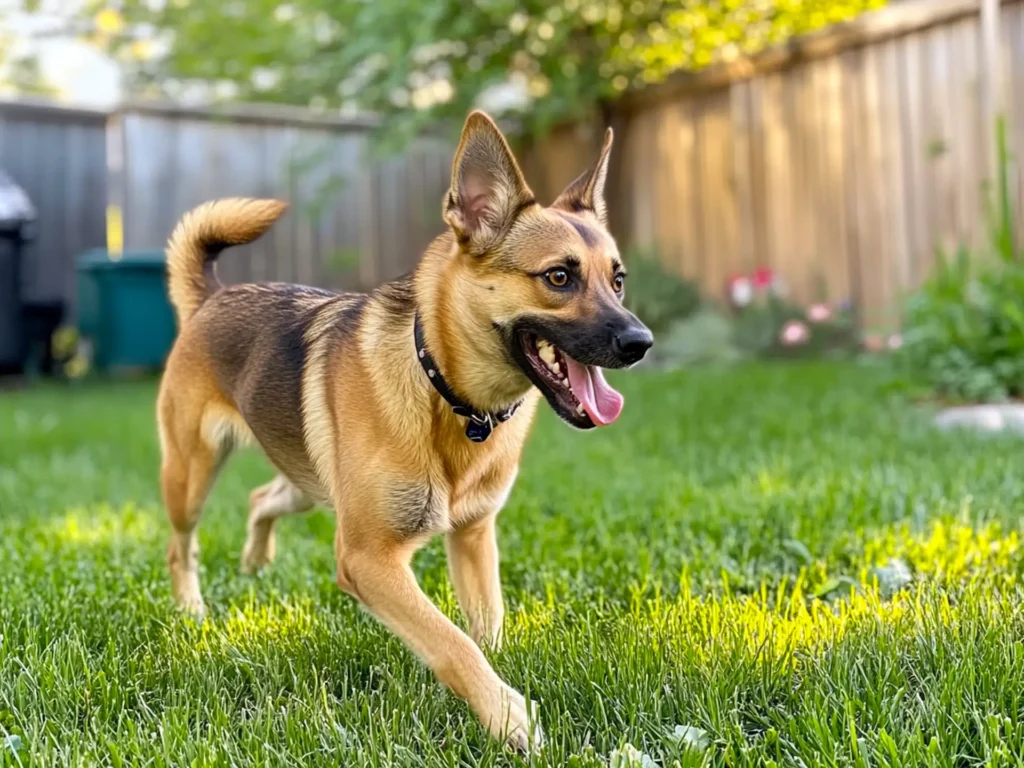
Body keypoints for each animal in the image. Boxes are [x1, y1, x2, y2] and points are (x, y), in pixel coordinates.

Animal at [157, 109, 655, 753]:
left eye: (617, 281)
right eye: (559, 277)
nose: (642, 343)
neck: (450, 397)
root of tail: (211, 299)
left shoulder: (473, 537)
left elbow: (485, 627)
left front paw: (500, 693)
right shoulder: (368, 559)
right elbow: (451, 642)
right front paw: (508, 716)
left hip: (305, 483)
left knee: (260, 498)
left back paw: (256, 561)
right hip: (191, 476)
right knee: (181, 546)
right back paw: (193, 611)